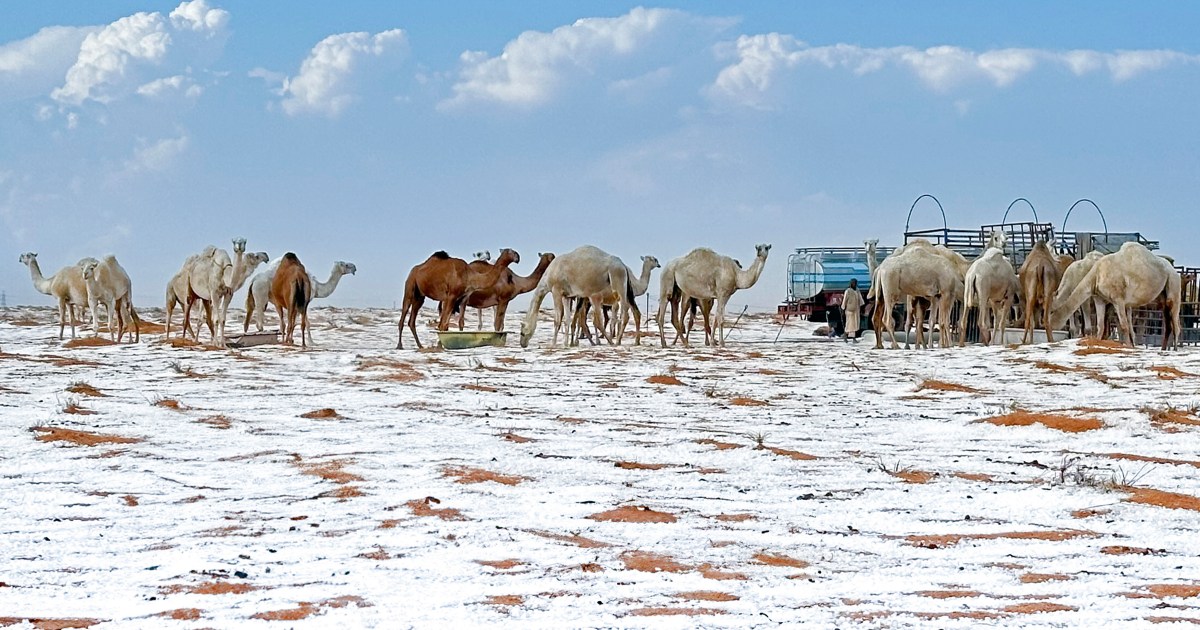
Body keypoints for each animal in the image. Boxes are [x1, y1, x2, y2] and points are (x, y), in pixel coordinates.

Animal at [1051, 241, 1180, 348]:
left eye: (1050, 313)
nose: (1048, 327)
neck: (1096, 275)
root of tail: (1173, 269)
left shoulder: (1118, 299)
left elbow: (1123, 326)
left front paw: (1128, 346)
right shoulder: (1099, 299)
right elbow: (1100, 326)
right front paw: (1097, 342)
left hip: (1173, 285)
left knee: (1175, 324)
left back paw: (1174, 350)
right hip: (1162, 296)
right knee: (1168, 325)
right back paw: (1163, 349)